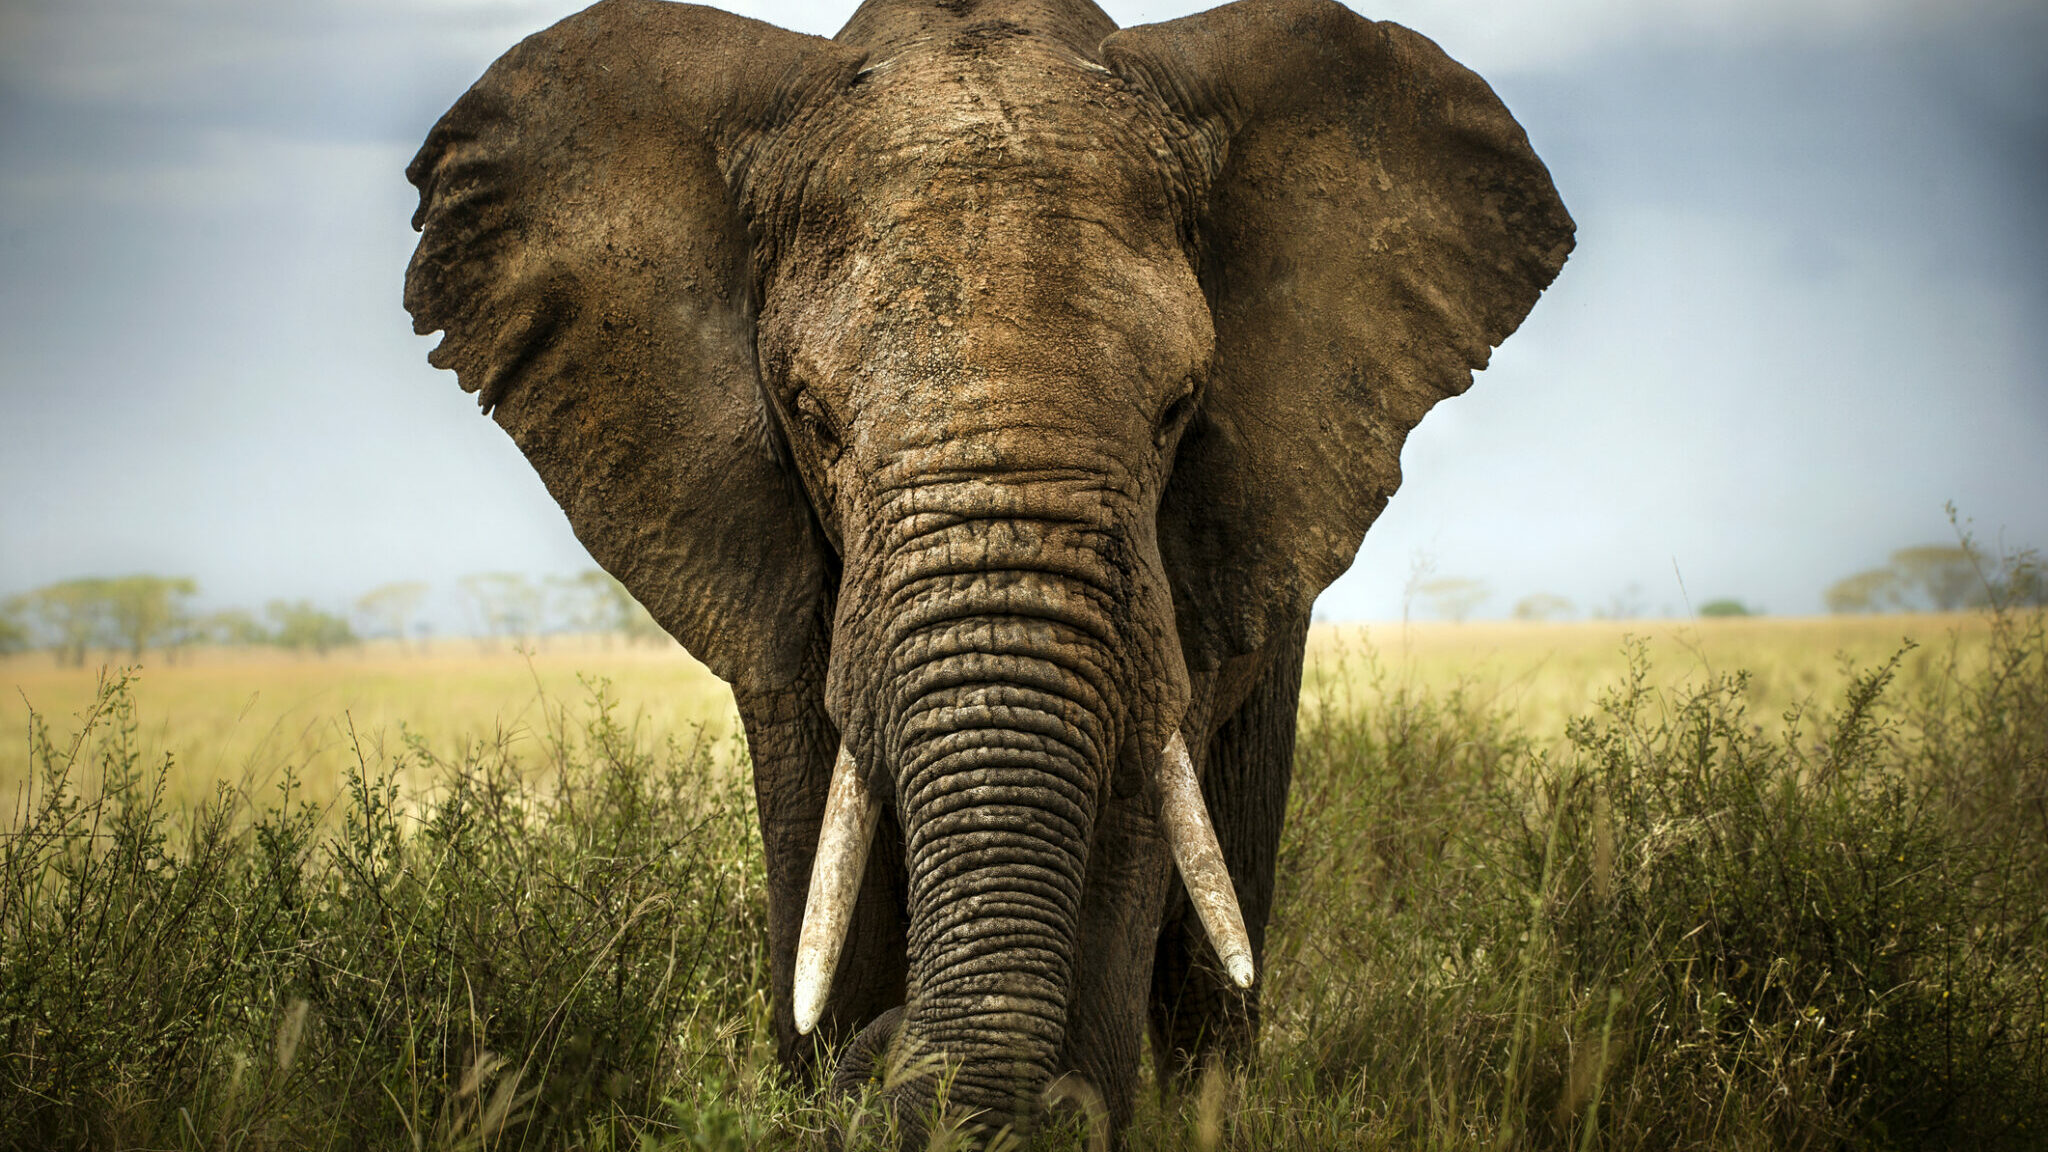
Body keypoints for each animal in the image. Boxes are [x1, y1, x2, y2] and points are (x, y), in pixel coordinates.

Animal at [404, 0, 1571, 1138]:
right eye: (812, 418)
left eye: (1178, 410)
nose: (888, 1054)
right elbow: (816, 824)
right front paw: (835, 1068)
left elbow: (1134, 810)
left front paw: (1065, 1102)